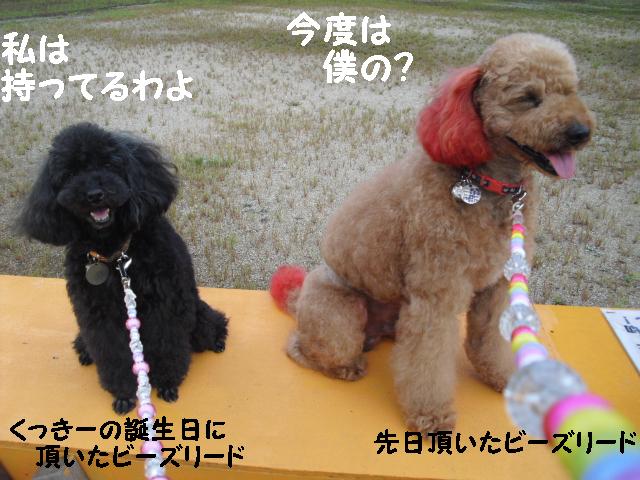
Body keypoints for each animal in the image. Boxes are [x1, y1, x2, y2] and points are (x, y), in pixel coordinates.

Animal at [20, 123, 228, 414]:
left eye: (109, 164)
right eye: (70, 174)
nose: (94, 195)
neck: (115, 254)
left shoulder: (165, 305)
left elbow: (167, 345)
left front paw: (167, 383)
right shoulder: (97, 315)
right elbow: (112, 354)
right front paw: (124, 394)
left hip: (198, 317)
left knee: (212, 326)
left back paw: (218, 340)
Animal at [270, 33, 594, 435]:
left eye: (571, 91)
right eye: (529, 97)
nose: (580, 132)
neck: (487, 183)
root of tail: (298, 299)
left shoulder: (497, 286)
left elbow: (491, 339)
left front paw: (506, 379)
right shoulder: (437, 292)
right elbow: (428, 362)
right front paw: (432, 415)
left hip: (398, 310)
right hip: (340, 317)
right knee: (305, 347)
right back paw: (346, 365)